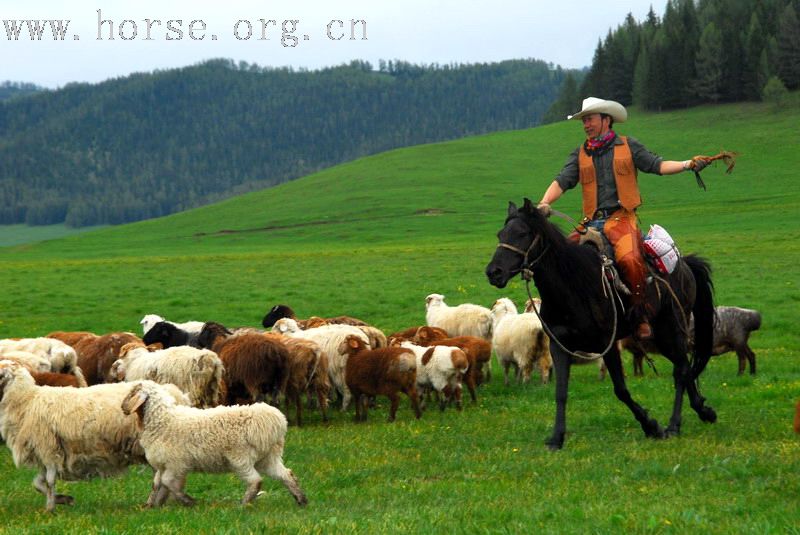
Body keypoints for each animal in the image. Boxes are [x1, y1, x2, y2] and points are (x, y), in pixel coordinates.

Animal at [0, 362, 189, 512]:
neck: (27, 400)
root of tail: (174, 393)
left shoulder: (48, 448)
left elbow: (49, 481)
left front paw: (50, 508)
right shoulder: (48, 454)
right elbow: (38, 483)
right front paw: (64, 499)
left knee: (160, 478)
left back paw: (153, 503)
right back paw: (161, 502)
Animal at [120, 382, 308, 506]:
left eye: (132, 393)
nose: (122, 408)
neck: (162, 421)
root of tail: (272, 421)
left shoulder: (176, 463)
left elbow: (167, 482)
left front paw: (187, 500)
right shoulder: (163, 464)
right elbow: (157, 484)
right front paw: (152, 505)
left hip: (240, 458)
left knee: (255, 480)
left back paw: (243, 504)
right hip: (268, 457)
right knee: (287, 474)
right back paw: (301, 499)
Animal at [488, 199, 720, 450]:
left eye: (522, 233)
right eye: (501, 234)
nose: (493, 272)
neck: (573, 287)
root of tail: (684, 264)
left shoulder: (607, 345)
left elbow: (621, 390)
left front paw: (651, 426)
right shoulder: (559, 346)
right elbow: (561, 392)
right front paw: (557, 437)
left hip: (670, 329)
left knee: (681, 370)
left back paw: (674, 425)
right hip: (659, 337)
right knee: (684, 365)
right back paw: (703, 410)